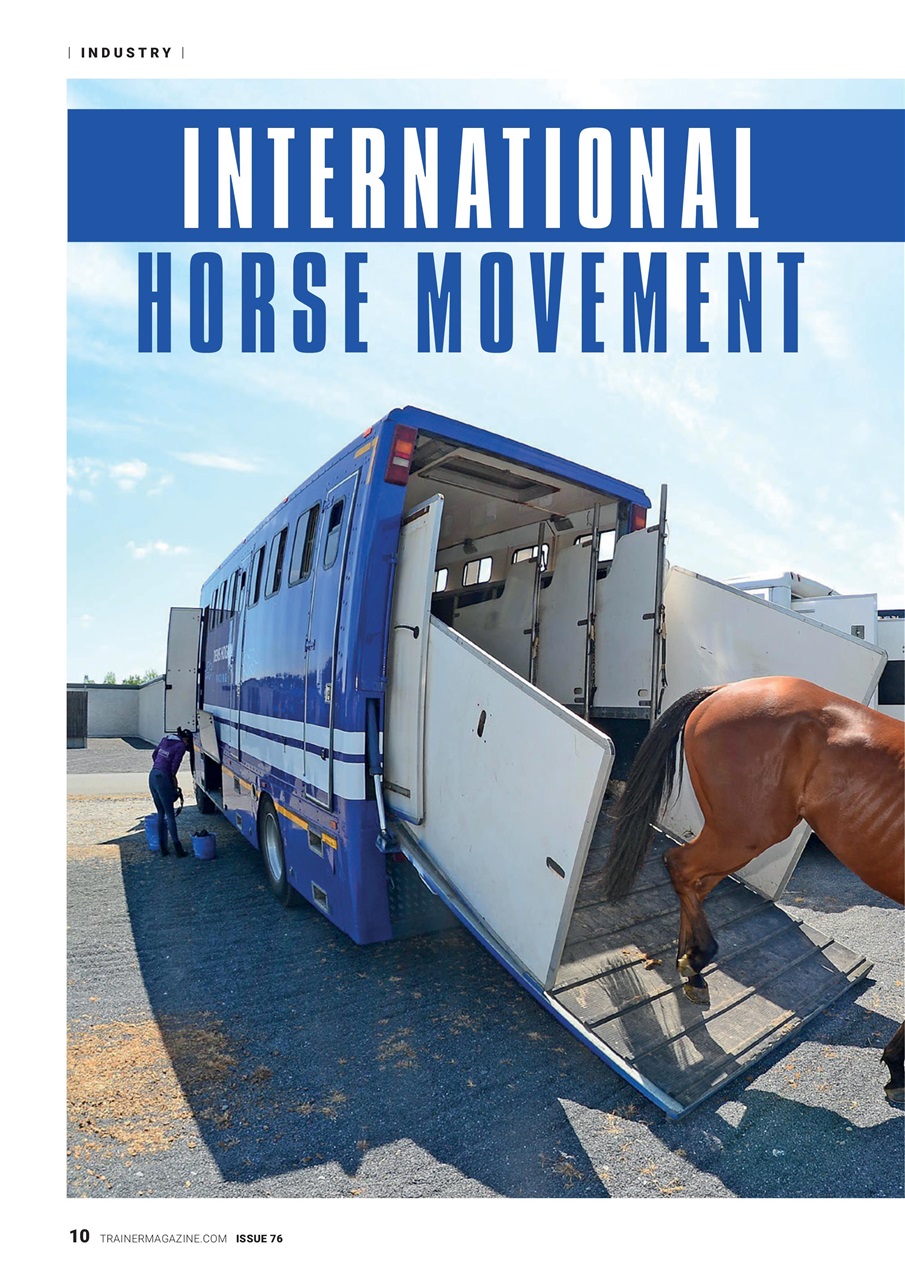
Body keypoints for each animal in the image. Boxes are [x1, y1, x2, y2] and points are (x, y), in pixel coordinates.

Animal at [601, 675, 904, 1102]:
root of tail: (725, 689)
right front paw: (897, 1069)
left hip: (736, 836)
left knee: (695, 883)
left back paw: (689, 965)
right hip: (746, 833)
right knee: (680, 867)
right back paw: (697, 961)